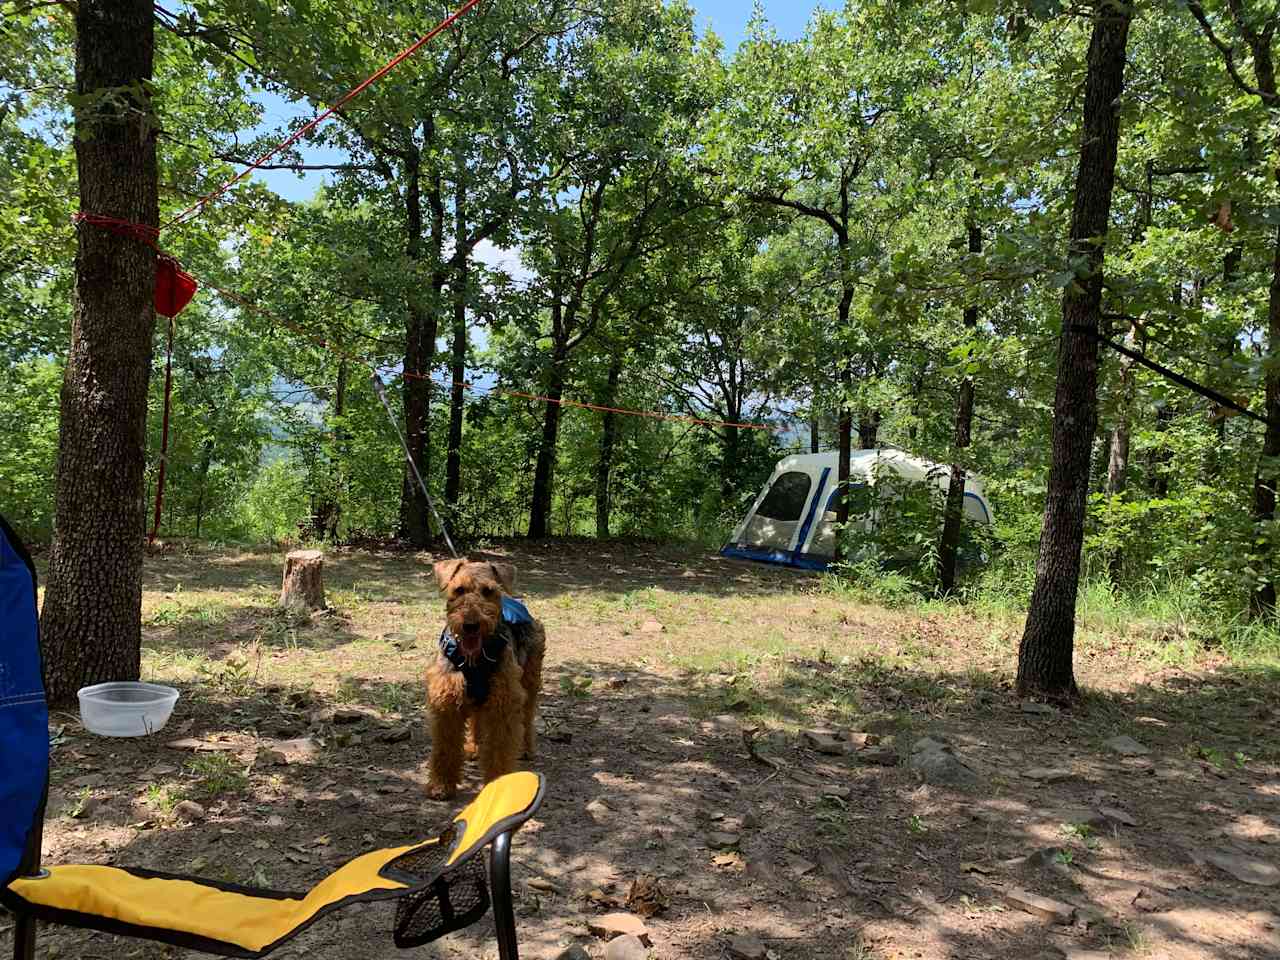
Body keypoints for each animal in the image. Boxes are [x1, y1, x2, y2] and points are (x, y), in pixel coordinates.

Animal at [424, 560, 545, 798]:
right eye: (459, 590)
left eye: (488, 591)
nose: (471, 625)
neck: (473, 661)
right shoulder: (447, 704)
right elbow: (445, 749)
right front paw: (441, 785)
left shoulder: (503, 707)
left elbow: (499, 750)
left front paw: (498, 786)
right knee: (477, 722)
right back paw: (473, 747)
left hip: (529, 683)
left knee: (526, 719)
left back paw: (526, 748)